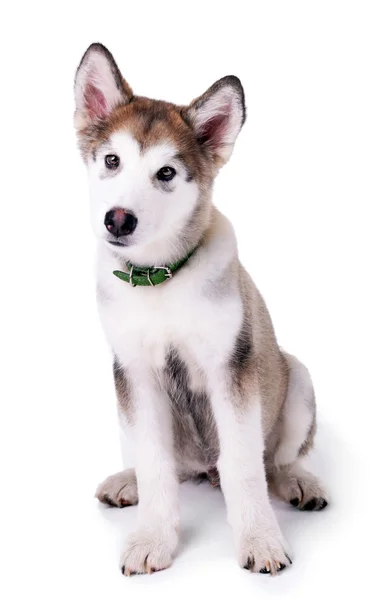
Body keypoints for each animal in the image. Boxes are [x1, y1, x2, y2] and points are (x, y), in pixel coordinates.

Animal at [74, 42, 328, 576]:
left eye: (166, 173)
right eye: (112, 160)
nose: (118, 219)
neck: (160, 280)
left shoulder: (229, 369)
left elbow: (244, 466)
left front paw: (260, 540)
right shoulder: (133, 372)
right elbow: (155, 465)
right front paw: (152, 537)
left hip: (296, 378)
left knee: (274, 461)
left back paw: (298, 482)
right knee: (169, 466)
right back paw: (127, 481)